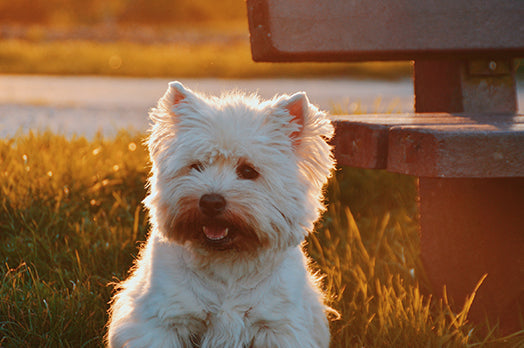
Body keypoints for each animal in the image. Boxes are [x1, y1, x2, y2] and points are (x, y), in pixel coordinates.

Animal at [106, 82, 336, 348]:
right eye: (196, 166)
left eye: (248, 171)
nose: (211, 201)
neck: (227, 263)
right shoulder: (163, 320)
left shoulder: (279, 325)